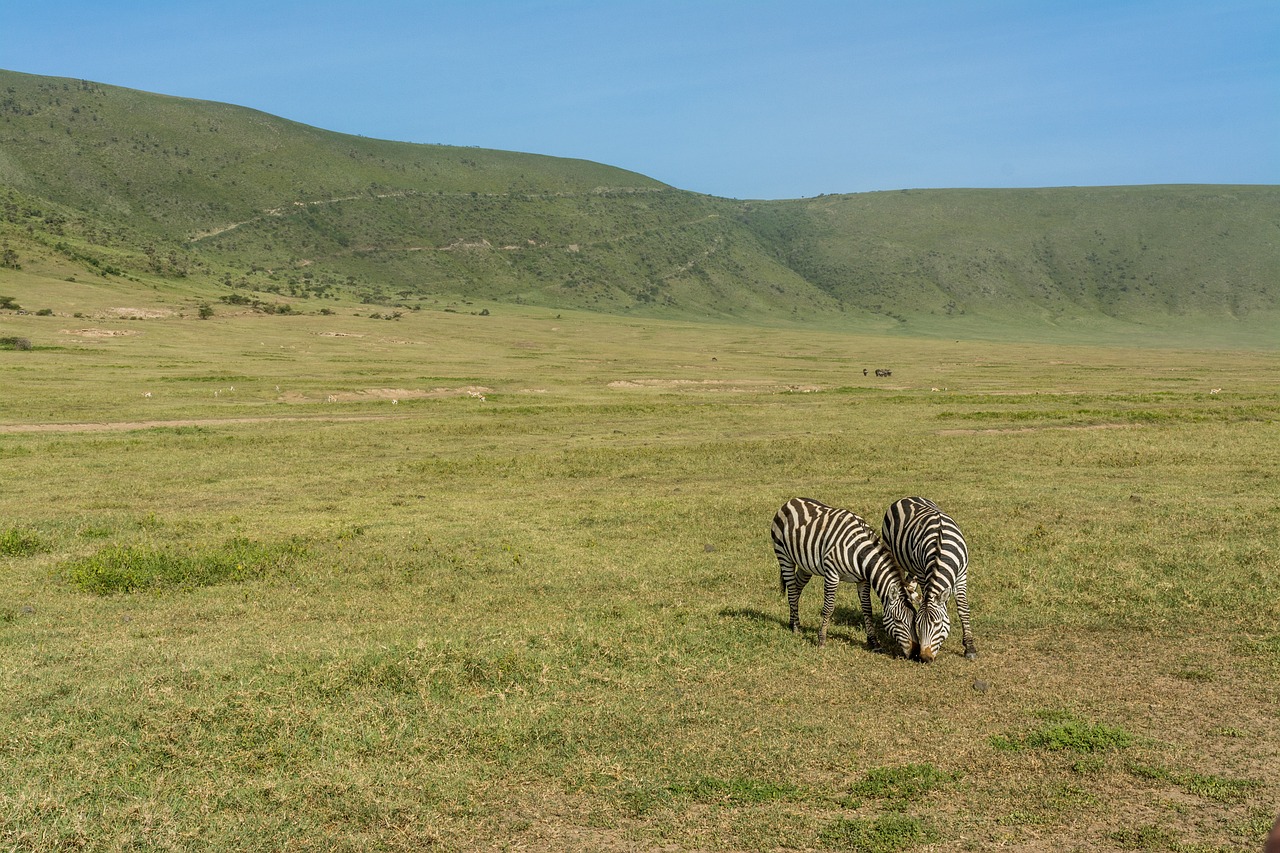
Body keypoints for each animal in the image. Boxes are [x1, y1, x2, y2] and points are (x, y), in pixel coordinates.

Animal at [768, 494, 921, 653]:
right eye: (898, 621)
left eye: (915, 620)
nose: (915, 652)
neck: (859, 552)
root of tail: (791, 501)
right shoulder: (832, 574)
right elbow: (828, 608)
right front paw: (821, 639)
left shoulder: (863, 580)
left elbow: (867, 608)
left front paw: (873, 642)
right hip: (784, 556)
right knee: (792, 590)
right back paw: (796, 628)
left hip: (805, 566)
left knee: (797, 589)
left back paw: (792, 621)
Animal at [880, 494, 977, 660]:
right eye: (918, 624)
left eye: (938, 623)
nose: (924, 658)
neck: (941, 548)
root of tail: (906, 497)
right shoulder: (922, 574)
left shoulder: (962, 575)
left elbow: (963, 608)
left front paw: (969, 647)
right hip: (894, 554)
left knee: (909, 585)